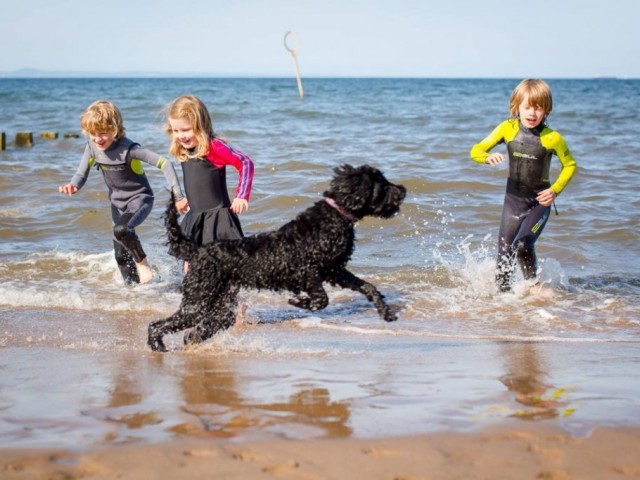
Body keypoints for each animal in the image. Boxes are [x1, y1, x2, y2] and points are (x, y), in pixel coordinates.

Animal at [149, 165, 404, 352]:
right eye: (382, 183)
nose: (403, 190)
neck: (335, 216)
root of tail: (197, 250)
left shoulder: (335, 271)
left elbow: (368, 287)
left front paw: (386, 312)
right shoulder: (307, 270)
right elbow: (321, 299)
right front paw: (299, 302)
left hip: (220, 306)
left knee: (195, 331)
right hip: (197, 302)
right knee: (156, 325)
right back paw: (157, 348)